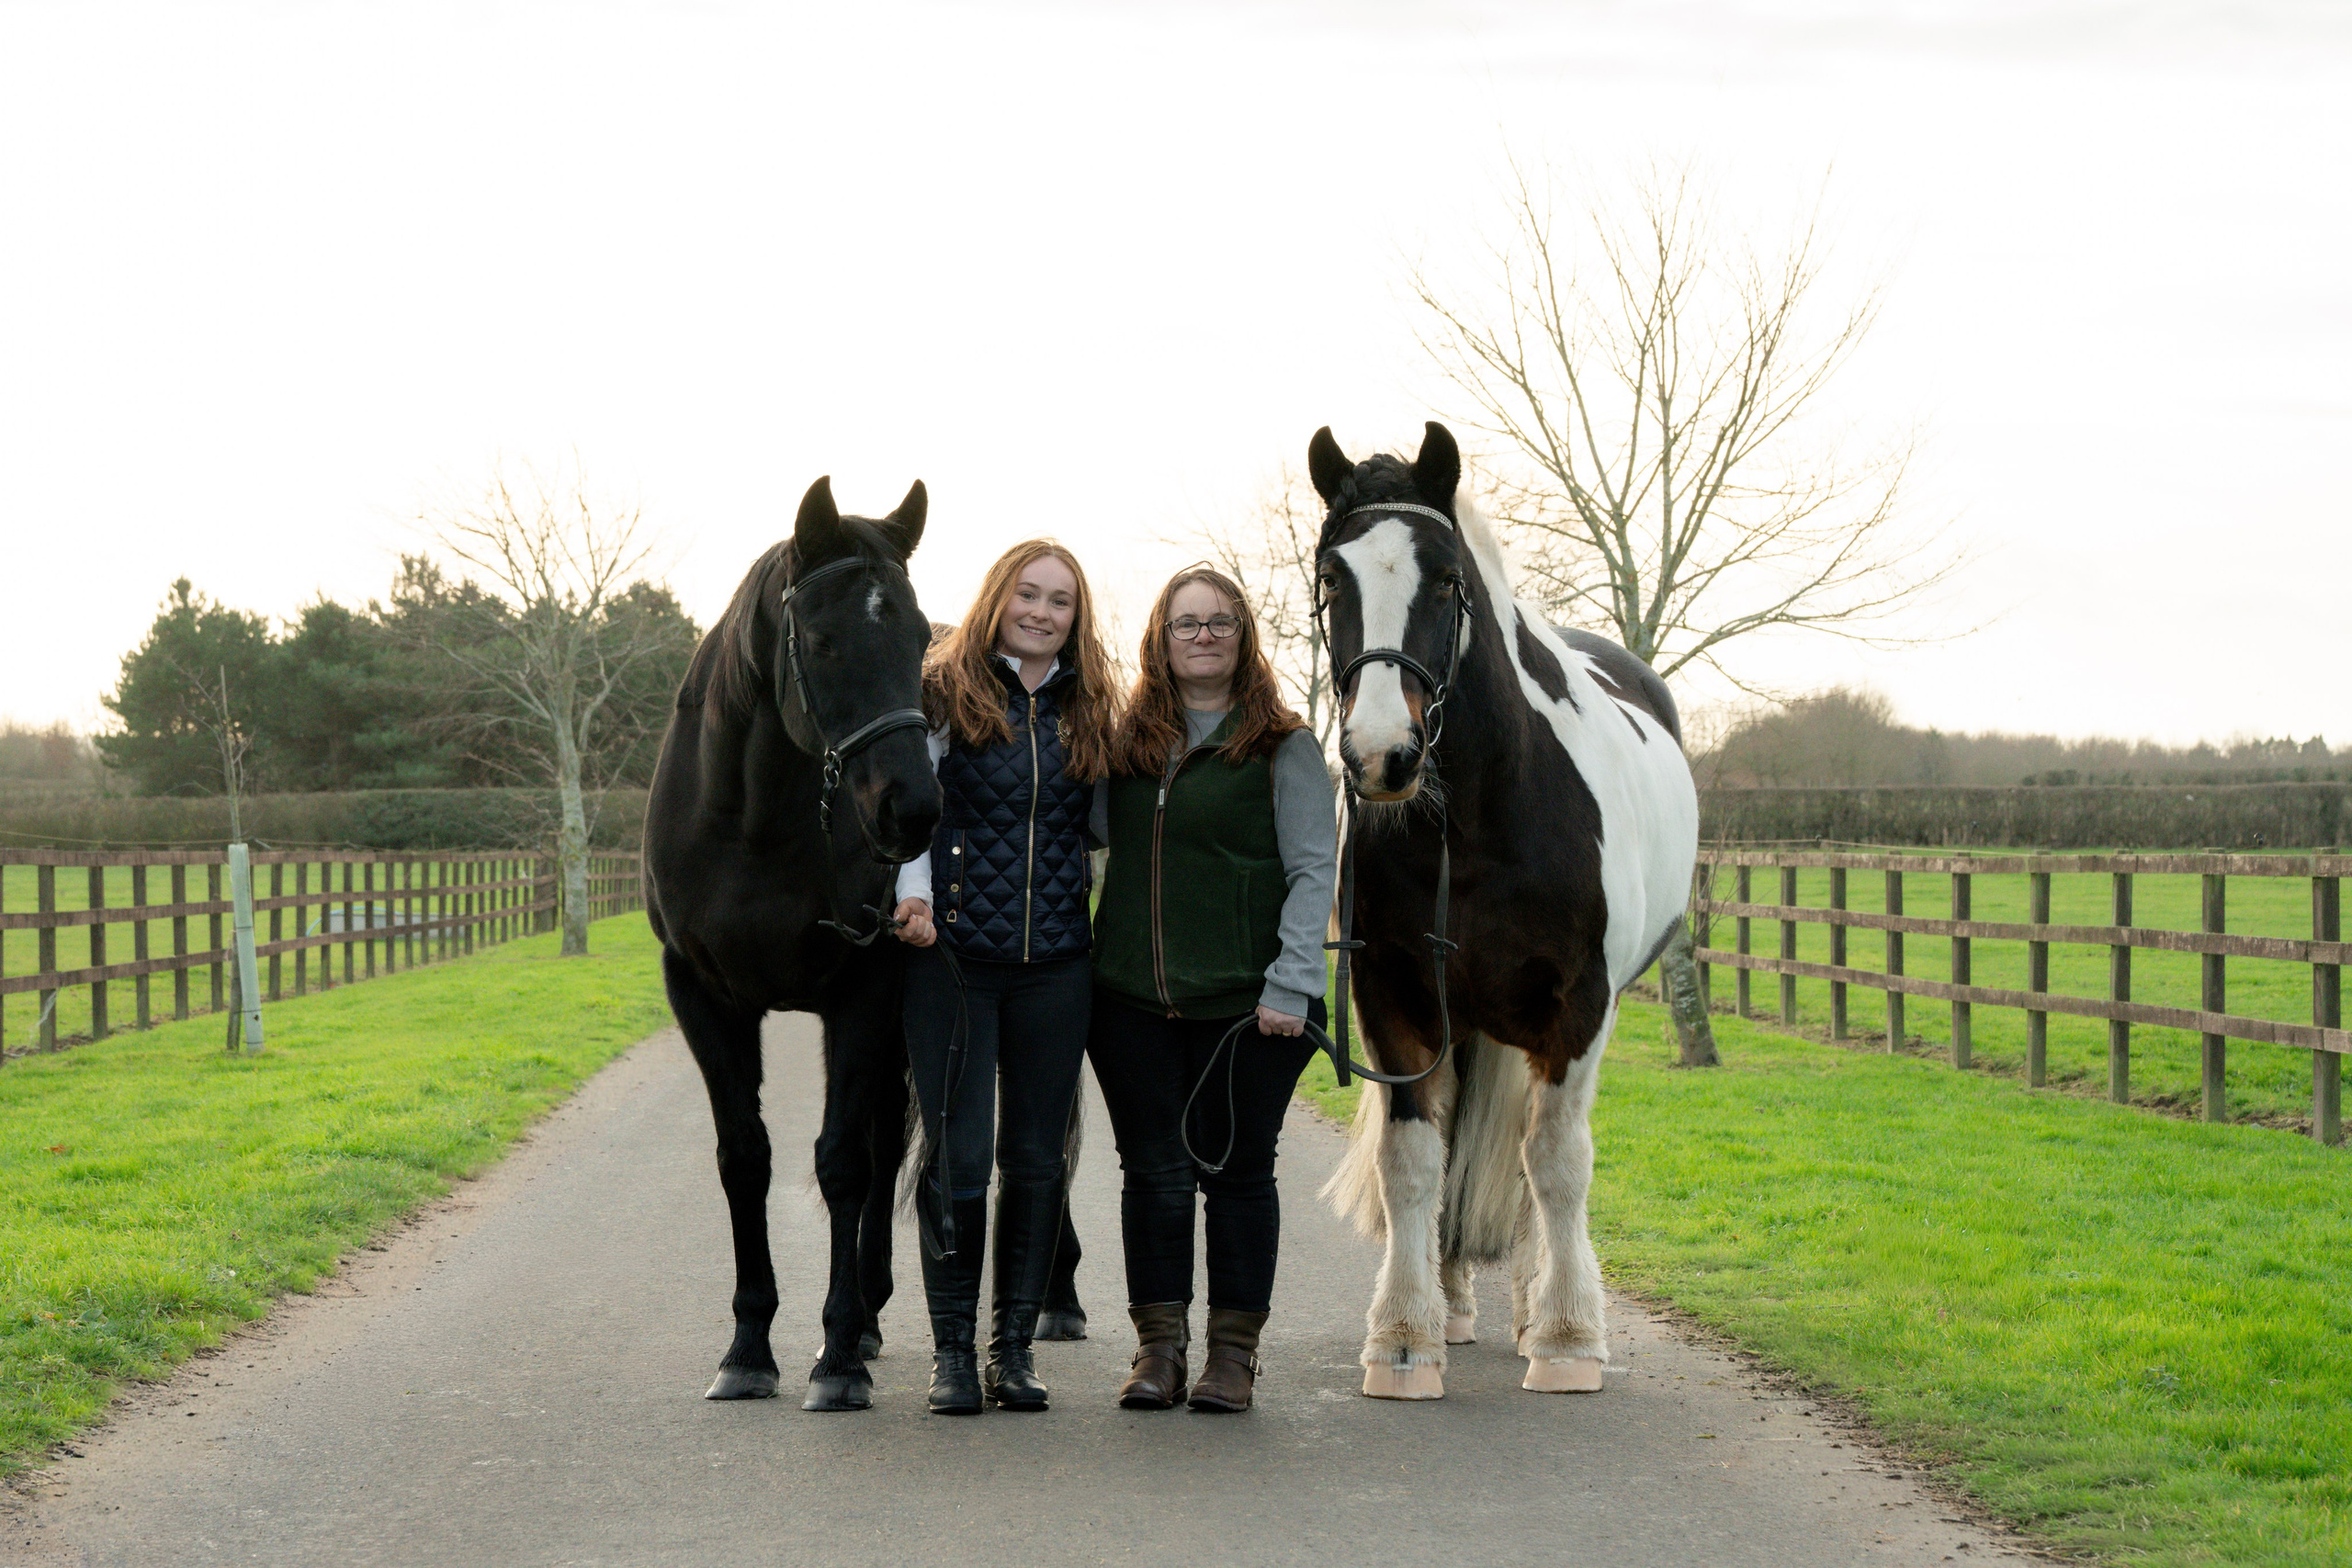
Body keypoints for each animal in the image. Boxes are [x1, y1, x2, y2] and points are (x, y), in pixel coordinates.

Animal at [643, 474, 941, 1412]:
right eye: (822, 638)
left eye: (921, 634)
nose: (912, 809)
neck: (754, 825)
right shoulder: (702, 996)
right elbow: (745, 1157)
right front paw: (747, 1347)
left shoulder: (862, 993)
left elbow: (843, 1161)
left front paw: (836, 1357)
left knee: (882, 1148)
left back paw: (869, 1317)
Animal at [1309, 421, 1699, 1400]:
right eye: (1332, 578)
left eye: (1448, 579)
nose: (1383, 755)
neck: (1479, 815)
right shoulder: (1395, 997)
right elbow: (1415, 1162)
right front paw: (1405, 1338)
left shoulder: (1579, 1007)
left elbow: (1556, 1161)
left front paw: (1566, 1336)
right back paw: (1453, 1300)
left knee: (1535, 1160)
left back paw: (1532, 1306)